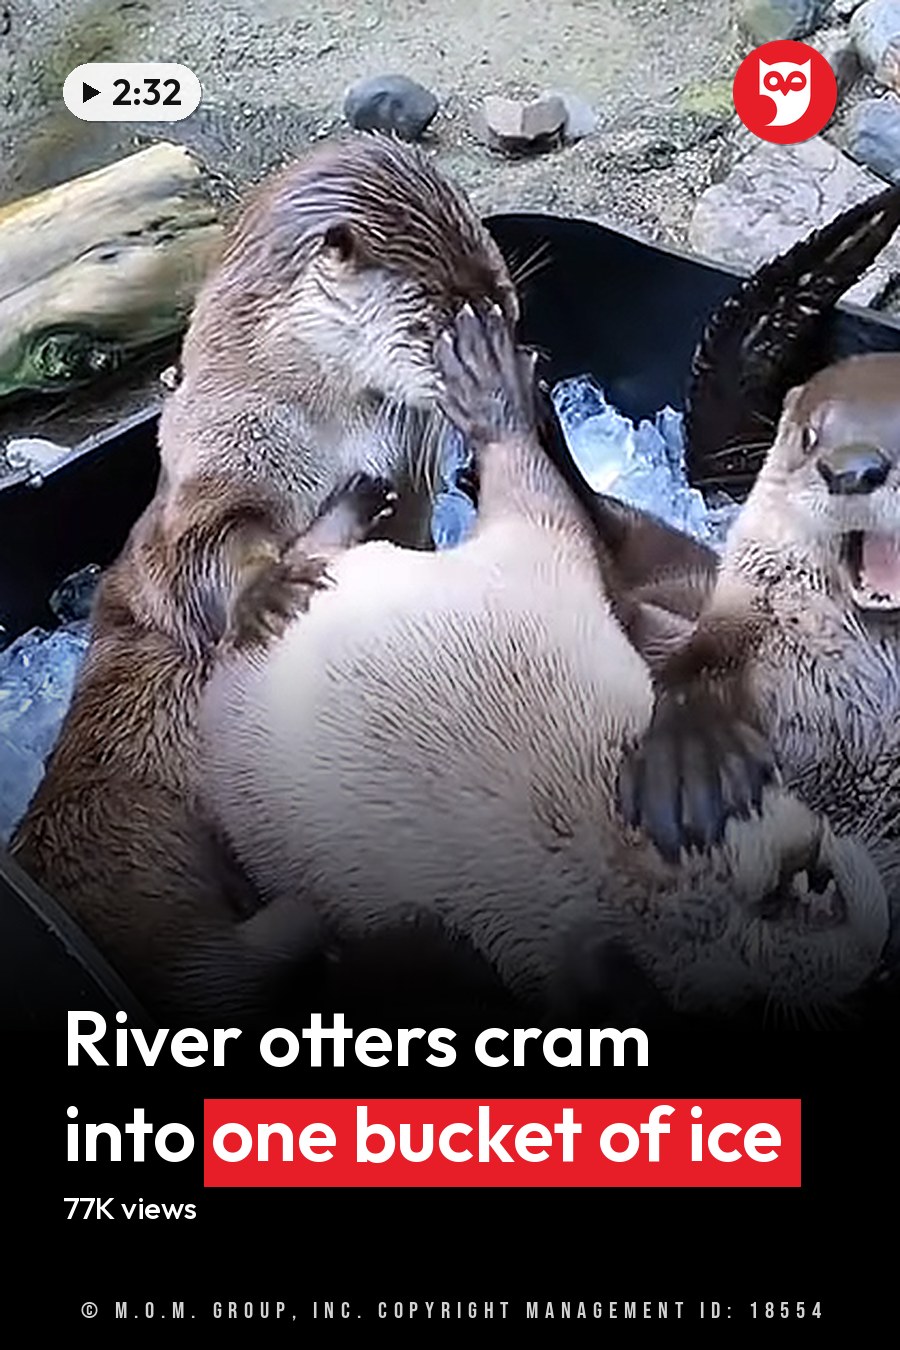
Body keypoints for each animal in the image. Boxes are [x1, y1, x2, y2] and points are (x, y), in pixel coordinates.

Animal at [11, 136, 516, 1014]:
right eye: (444, 308)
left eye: (497, 271)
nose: (511, 322)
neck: (324, 429)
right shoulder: (215, 462)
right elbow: (205, 550)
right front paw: (269, 590)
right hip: (129, 832)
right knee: (213, 968)